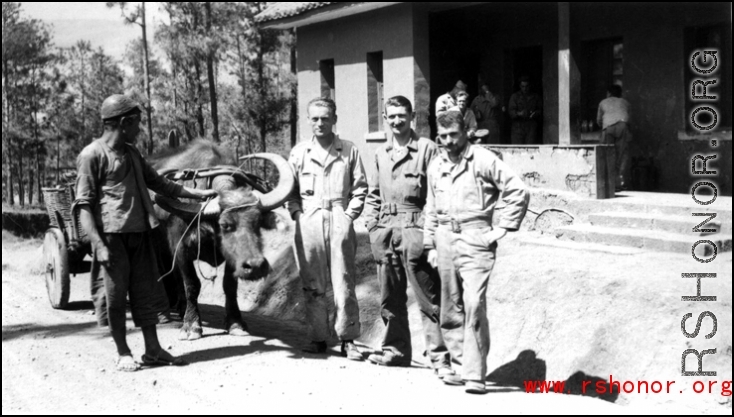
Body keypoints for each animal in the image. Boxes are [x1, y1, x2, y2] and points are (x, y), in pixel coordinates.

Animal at [150, 141, 296, 340]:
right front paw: (191, 326)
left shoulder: (232, 257)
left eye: (257, 222)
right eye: (225, 225)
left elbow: (229, 285)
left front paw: (235, 323)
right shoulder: (180, 248)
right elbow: (192, 284)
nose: (256, 266)